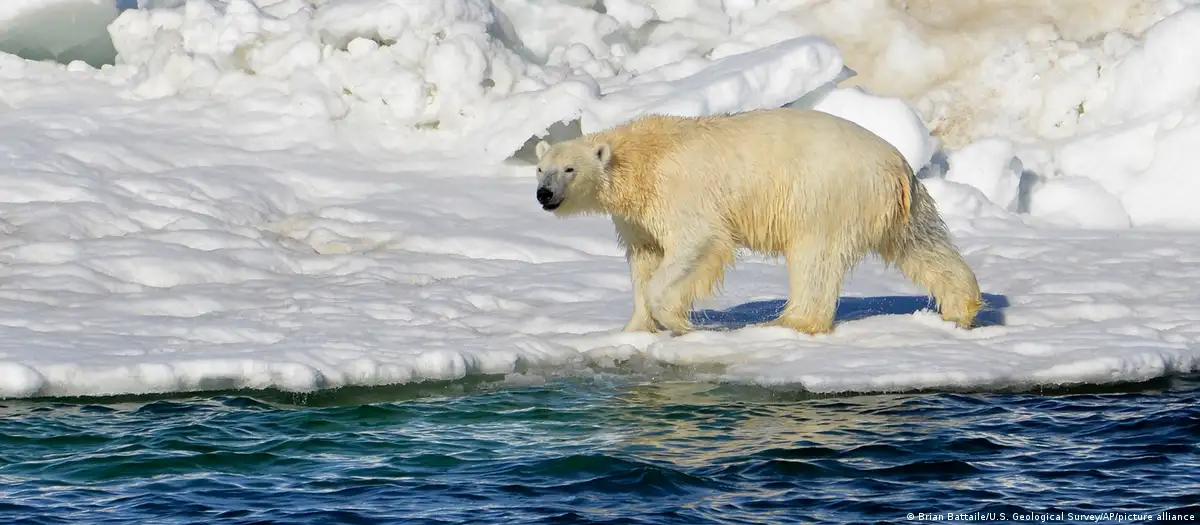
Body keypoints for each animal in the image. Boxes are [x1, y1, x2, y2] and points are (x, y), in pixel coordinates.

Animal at [535, 108, 984, 333]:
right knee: (923, 245)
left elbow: (697, 243)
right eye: (541, 169)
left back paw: (790, 322)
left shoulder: (680, 191)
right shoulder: (637, 216)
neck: (643, 157)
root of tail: (895, 165)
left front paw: (677, 322)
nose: (544, 195)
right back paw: (960, 309)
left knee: (814, 258)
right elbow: (644, 258)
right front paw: (634, 329)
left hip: (825, 194)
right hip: (899, 205)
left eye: (569, 169)